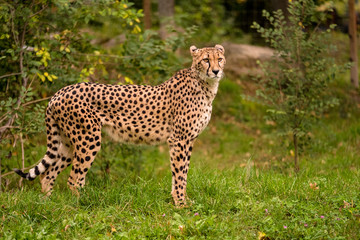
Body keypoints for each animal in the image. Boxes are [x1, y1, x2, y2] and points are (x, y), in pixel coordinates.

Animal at [16, 44, 226, 205]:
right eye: (206, 60)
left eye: (220, 59)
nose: (216, 71)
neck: (205, 84)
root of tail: (60, 92)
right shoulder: (180, 139)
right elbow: (181, 174)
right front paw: (181, 204)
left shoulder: (187, 140)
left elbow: (180, 173)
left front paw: (180, 200)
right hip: (88, 139)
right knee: (74, 179)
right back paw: (84, 204)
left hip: (67, 143)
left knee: (47, 174)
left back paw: (48, 204)